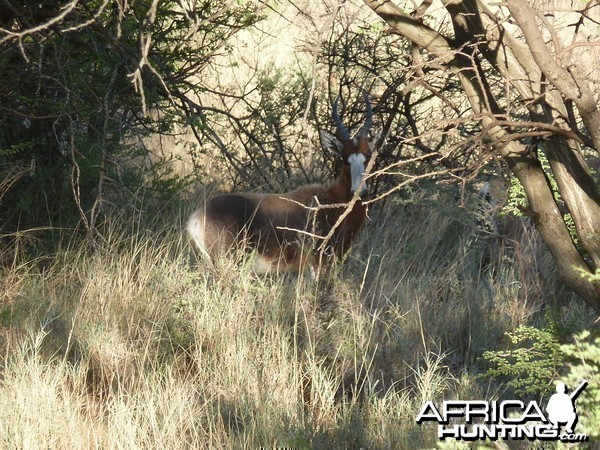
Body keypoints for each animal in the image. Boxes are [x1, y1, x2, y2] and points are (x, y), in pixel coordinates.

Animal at [185, 96, 378, 274]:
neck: (330, 201)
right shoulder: (317, 265)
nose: (360, 191)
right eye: (345, 158)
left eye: (368, 155)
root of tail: (197, 218)